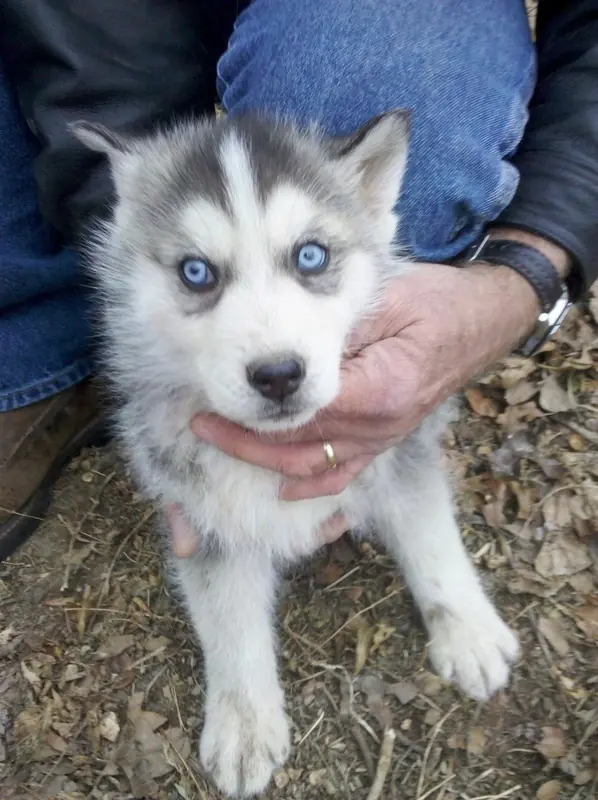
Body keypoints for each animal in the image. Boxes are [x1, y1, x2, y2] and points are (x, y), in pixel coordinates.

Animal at [73, 111, 519, 798]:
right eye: (196, 272)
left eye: (312, 256)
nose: (278, 374)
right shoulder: (201, 512)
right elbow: (229, 615)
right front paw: (244, 722)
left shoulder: (399, 446)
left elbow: (431, 537)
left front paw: (467, 630)